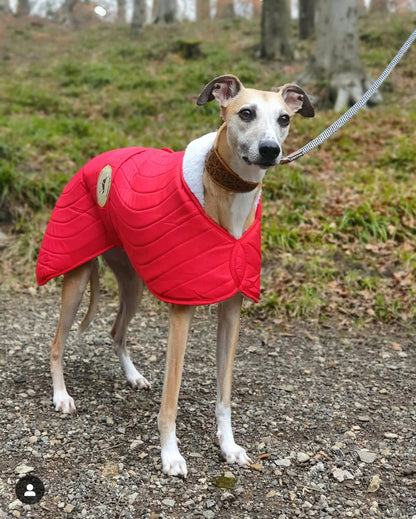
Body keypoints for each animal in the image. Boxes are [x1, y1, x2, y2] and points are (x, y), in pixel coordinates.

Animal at [37, 75, 314, 478]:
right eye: (246, 113)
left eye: (284, 119)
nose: (269, 150)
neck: (225, 198)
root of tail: (96, 161)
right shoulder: (182, 310)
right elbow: (171, 399)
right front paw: (170, 455)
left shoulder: (232, 310)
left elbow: (224, 394)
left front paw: (228, 447)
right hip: (75, 274)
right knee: (57, 343)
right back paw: (62, 396)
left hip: (133, 283)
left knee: (116, 331)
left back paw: (133, 376)